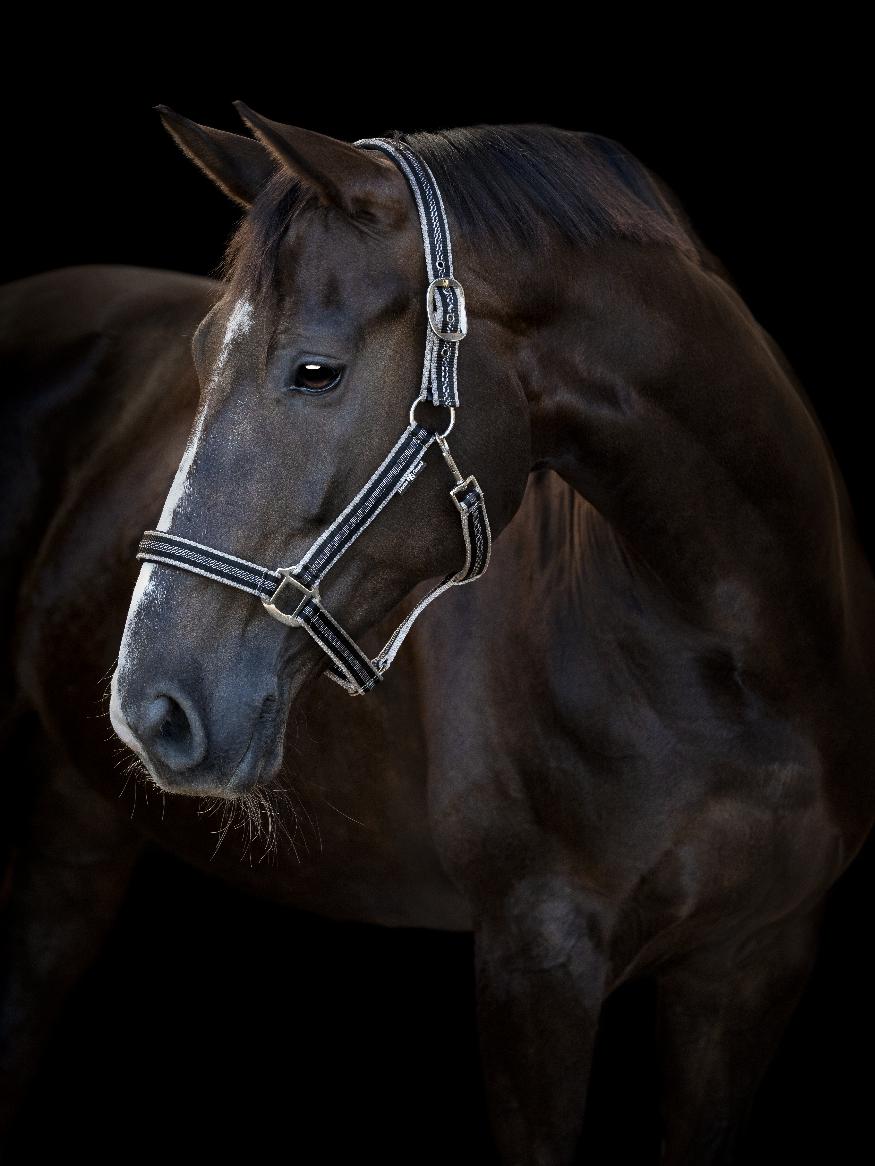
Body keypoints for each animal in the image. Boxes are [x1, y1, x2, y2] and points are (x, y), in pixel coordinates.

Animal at [1, 103, 873, 1165]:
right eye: (203, 356)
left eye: (316, 371)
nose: (149, 704)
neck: (736, 665)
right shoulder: (535, 960)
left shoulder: (753, 963)